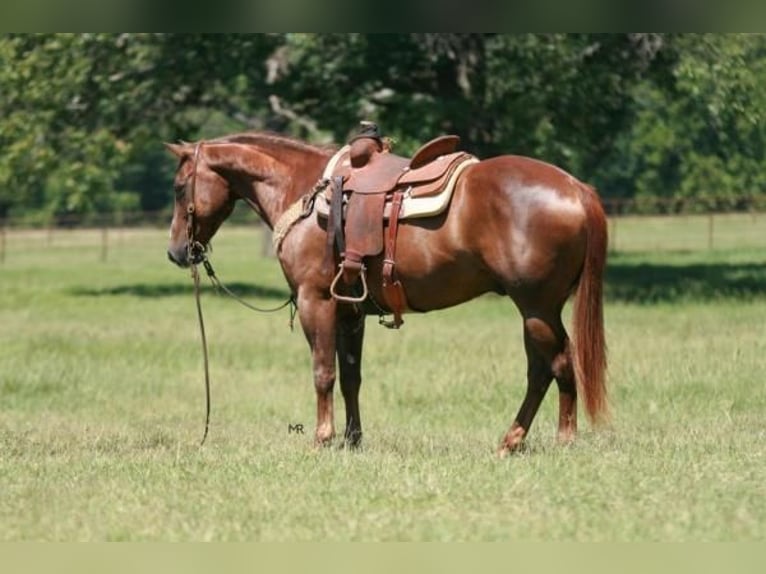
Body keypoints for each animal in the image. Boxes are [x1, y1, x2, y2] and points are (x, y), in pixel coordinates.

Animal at [165, 131, 608, 456]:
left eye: (178, 187)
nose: (176, 252)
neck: (305, 191)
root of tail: (576, 188)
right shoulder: (350, 312)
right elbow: (351, 376)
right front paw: (352, 440)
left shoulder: (315, 301)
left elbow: (323, 372)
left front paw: (321, 439)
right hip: (536, 310)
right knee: (541, 371)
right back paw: (512, 441)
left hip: (536, 308)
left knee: (557, 364)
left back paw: (558, 440)